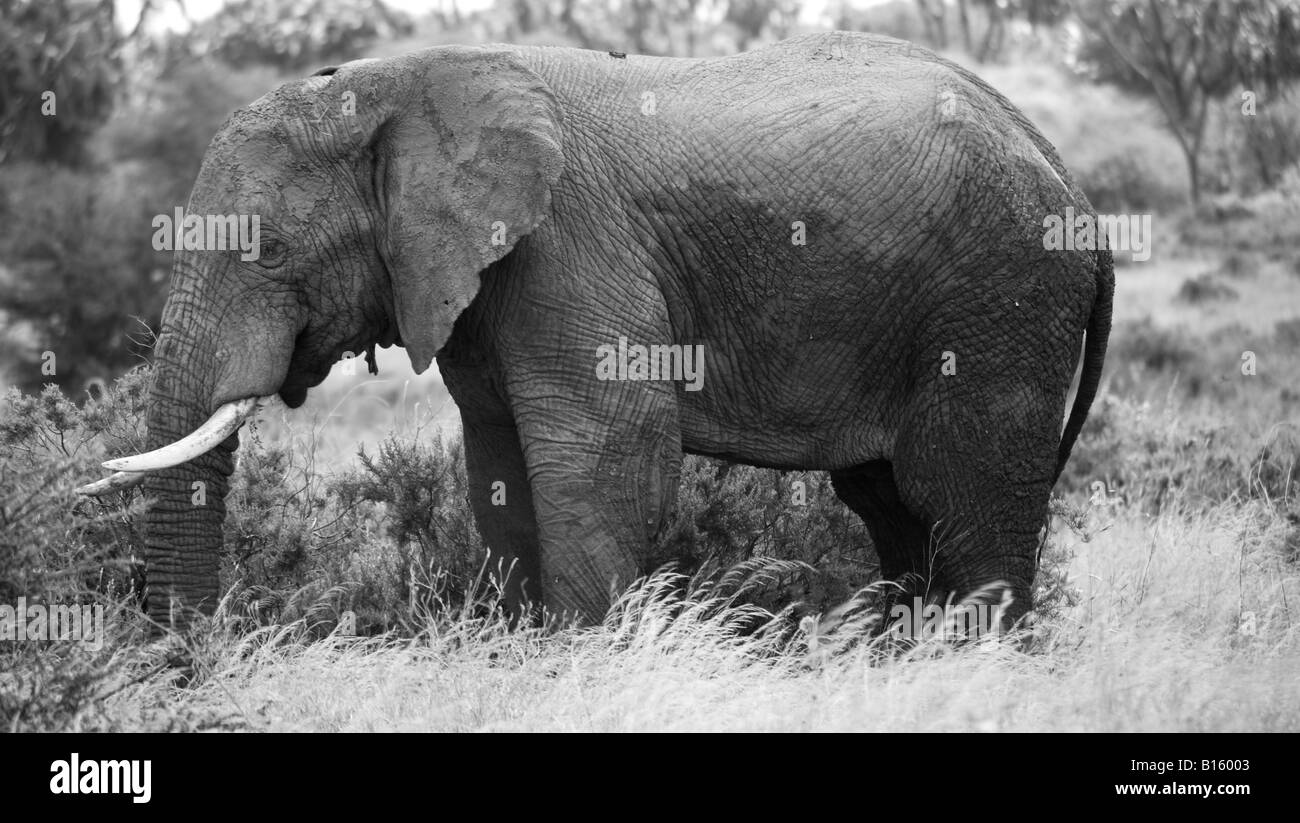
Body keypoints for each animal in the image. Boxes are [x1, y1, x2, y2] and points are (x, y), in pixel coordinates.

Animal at [83, 30, 1118, 629]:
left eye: (266, 249)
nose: (196, 650)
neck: (401, 80)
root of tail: (1076, 189)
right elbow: (500, 472)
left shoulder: (572, 246)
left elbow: (607, 459)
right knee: (894, 507)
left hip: (998, 299)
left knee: (964, 504)